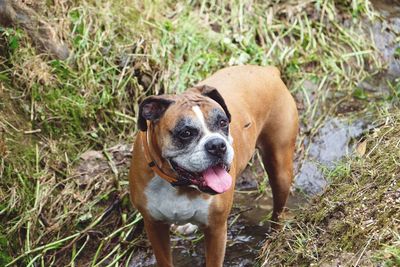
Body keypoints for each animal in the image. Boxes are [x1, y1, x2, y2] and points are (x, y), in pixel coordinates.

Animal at [128, 65, 296, 267]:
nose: (217, 145)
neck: (179, 185)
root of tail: (268, 70)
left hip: (280, 170)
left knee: (278, 211)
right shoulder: (154, 226)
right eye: (186, 133)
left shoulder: (216, 230)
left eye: (223, 123)